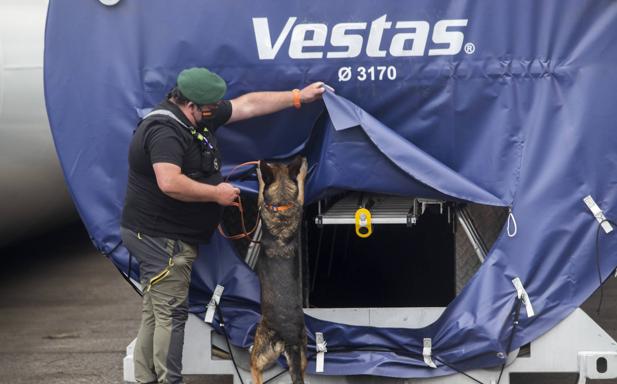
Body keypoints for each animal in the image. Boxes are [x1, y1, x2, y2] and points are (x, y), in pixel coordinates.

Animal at [250, 155, 308, 384]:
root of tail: (289, 339)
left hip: (260, 347)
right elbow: (300, 190)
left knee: (255, 369)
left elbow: (261, 190)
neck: (282, 203)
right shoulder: (299, 204)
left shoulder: (261, 203)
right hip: (303, 355)